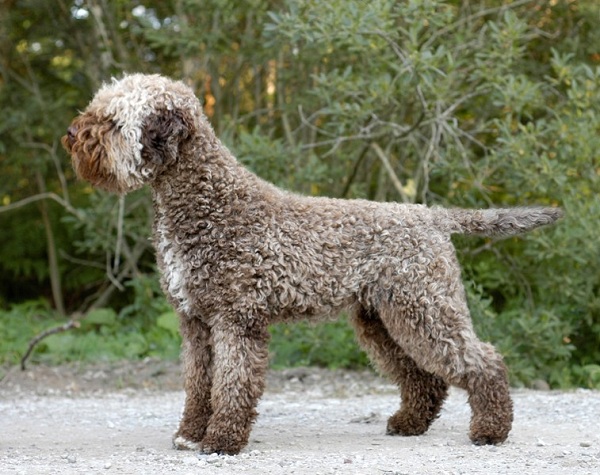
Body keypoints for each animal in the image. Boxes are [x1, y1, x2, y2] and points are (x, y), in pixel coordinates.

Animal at [62, 72, 564, 456]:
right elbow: (199, 384)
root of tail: (432, 215)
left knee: (483, 360)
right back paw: (409, 423)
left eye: (111, 121)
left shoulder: (235, 320)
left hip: (425, 307)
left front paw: (222, 441)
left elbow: (232, 384)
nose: (70, 134)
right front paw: (189, 434)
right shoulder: (195, 322)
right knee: (424, 377)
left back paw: (490, 431)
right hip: (383, 318)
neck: (209, 203)